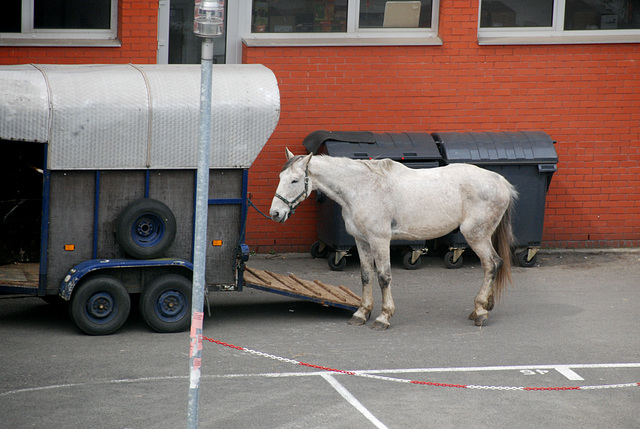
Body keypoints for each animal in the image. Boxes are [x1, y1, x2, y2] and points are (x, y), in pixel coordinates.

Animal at [268, 149, 516, 330]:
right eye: (280, 178)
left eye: (294, 181)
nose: (275, 214)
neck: (362, 189)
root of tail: (501, 181)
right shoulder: (361, 241)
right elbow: (366, 276)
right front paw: (362, 313)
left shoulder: (379, 240)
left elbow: (384, 277)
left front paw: (383, 317)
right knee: (494, 264)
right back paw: (484, 307)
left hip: (475, 235)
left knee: (491, 264)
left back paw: (480, 311)